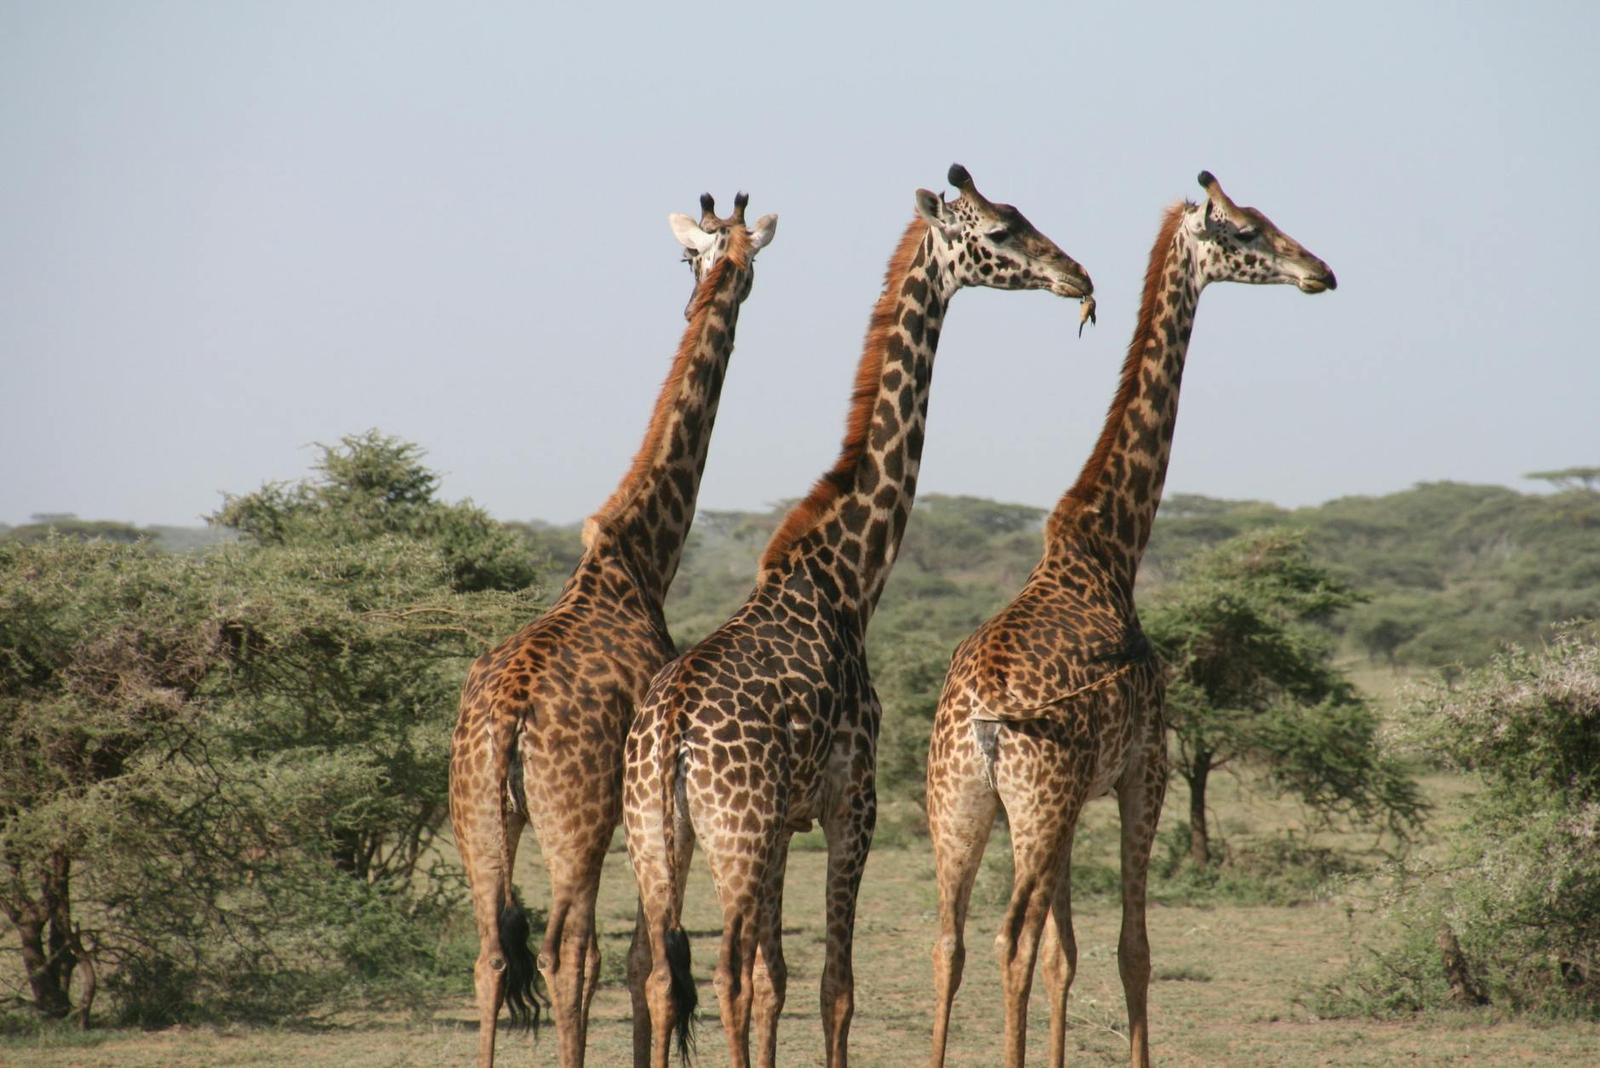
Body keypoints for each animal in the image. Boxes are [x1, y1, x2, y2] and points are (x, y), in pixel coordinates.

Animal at [448, 192, 777, 1068]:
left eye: (699, 255)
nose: (716, 289)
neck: (639, 559)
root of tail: (508, 717)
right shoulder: (642, 814)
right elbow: (642, 958)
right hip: (576, 821)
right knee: (570, 951)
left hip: (475, 815)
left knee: (489, 953)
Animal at [622, 164, 1095, 1068]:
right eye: (1001, 229)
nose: (1078, 276)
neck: (848, 577)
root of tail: (668, 734)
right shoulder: (855, 802)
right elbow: (832, 985)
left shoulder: (786, 823)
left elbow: (778, 979)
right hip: (732, 836)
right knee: (721, 975)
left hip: (660, 839)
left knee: (662, 974)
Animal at [923, 171, 1337, 1068]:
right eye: (1246, 230)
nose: (1319, 270)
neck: (1111, 547)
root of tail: (980, 719)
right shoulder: (1143, 771)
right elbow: (1130, 949)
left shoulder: (1081, 793)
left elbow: (1067, 954)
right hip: (1035, 802)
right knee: (1009, 939)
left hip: (959, 806)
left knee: (950, 943)